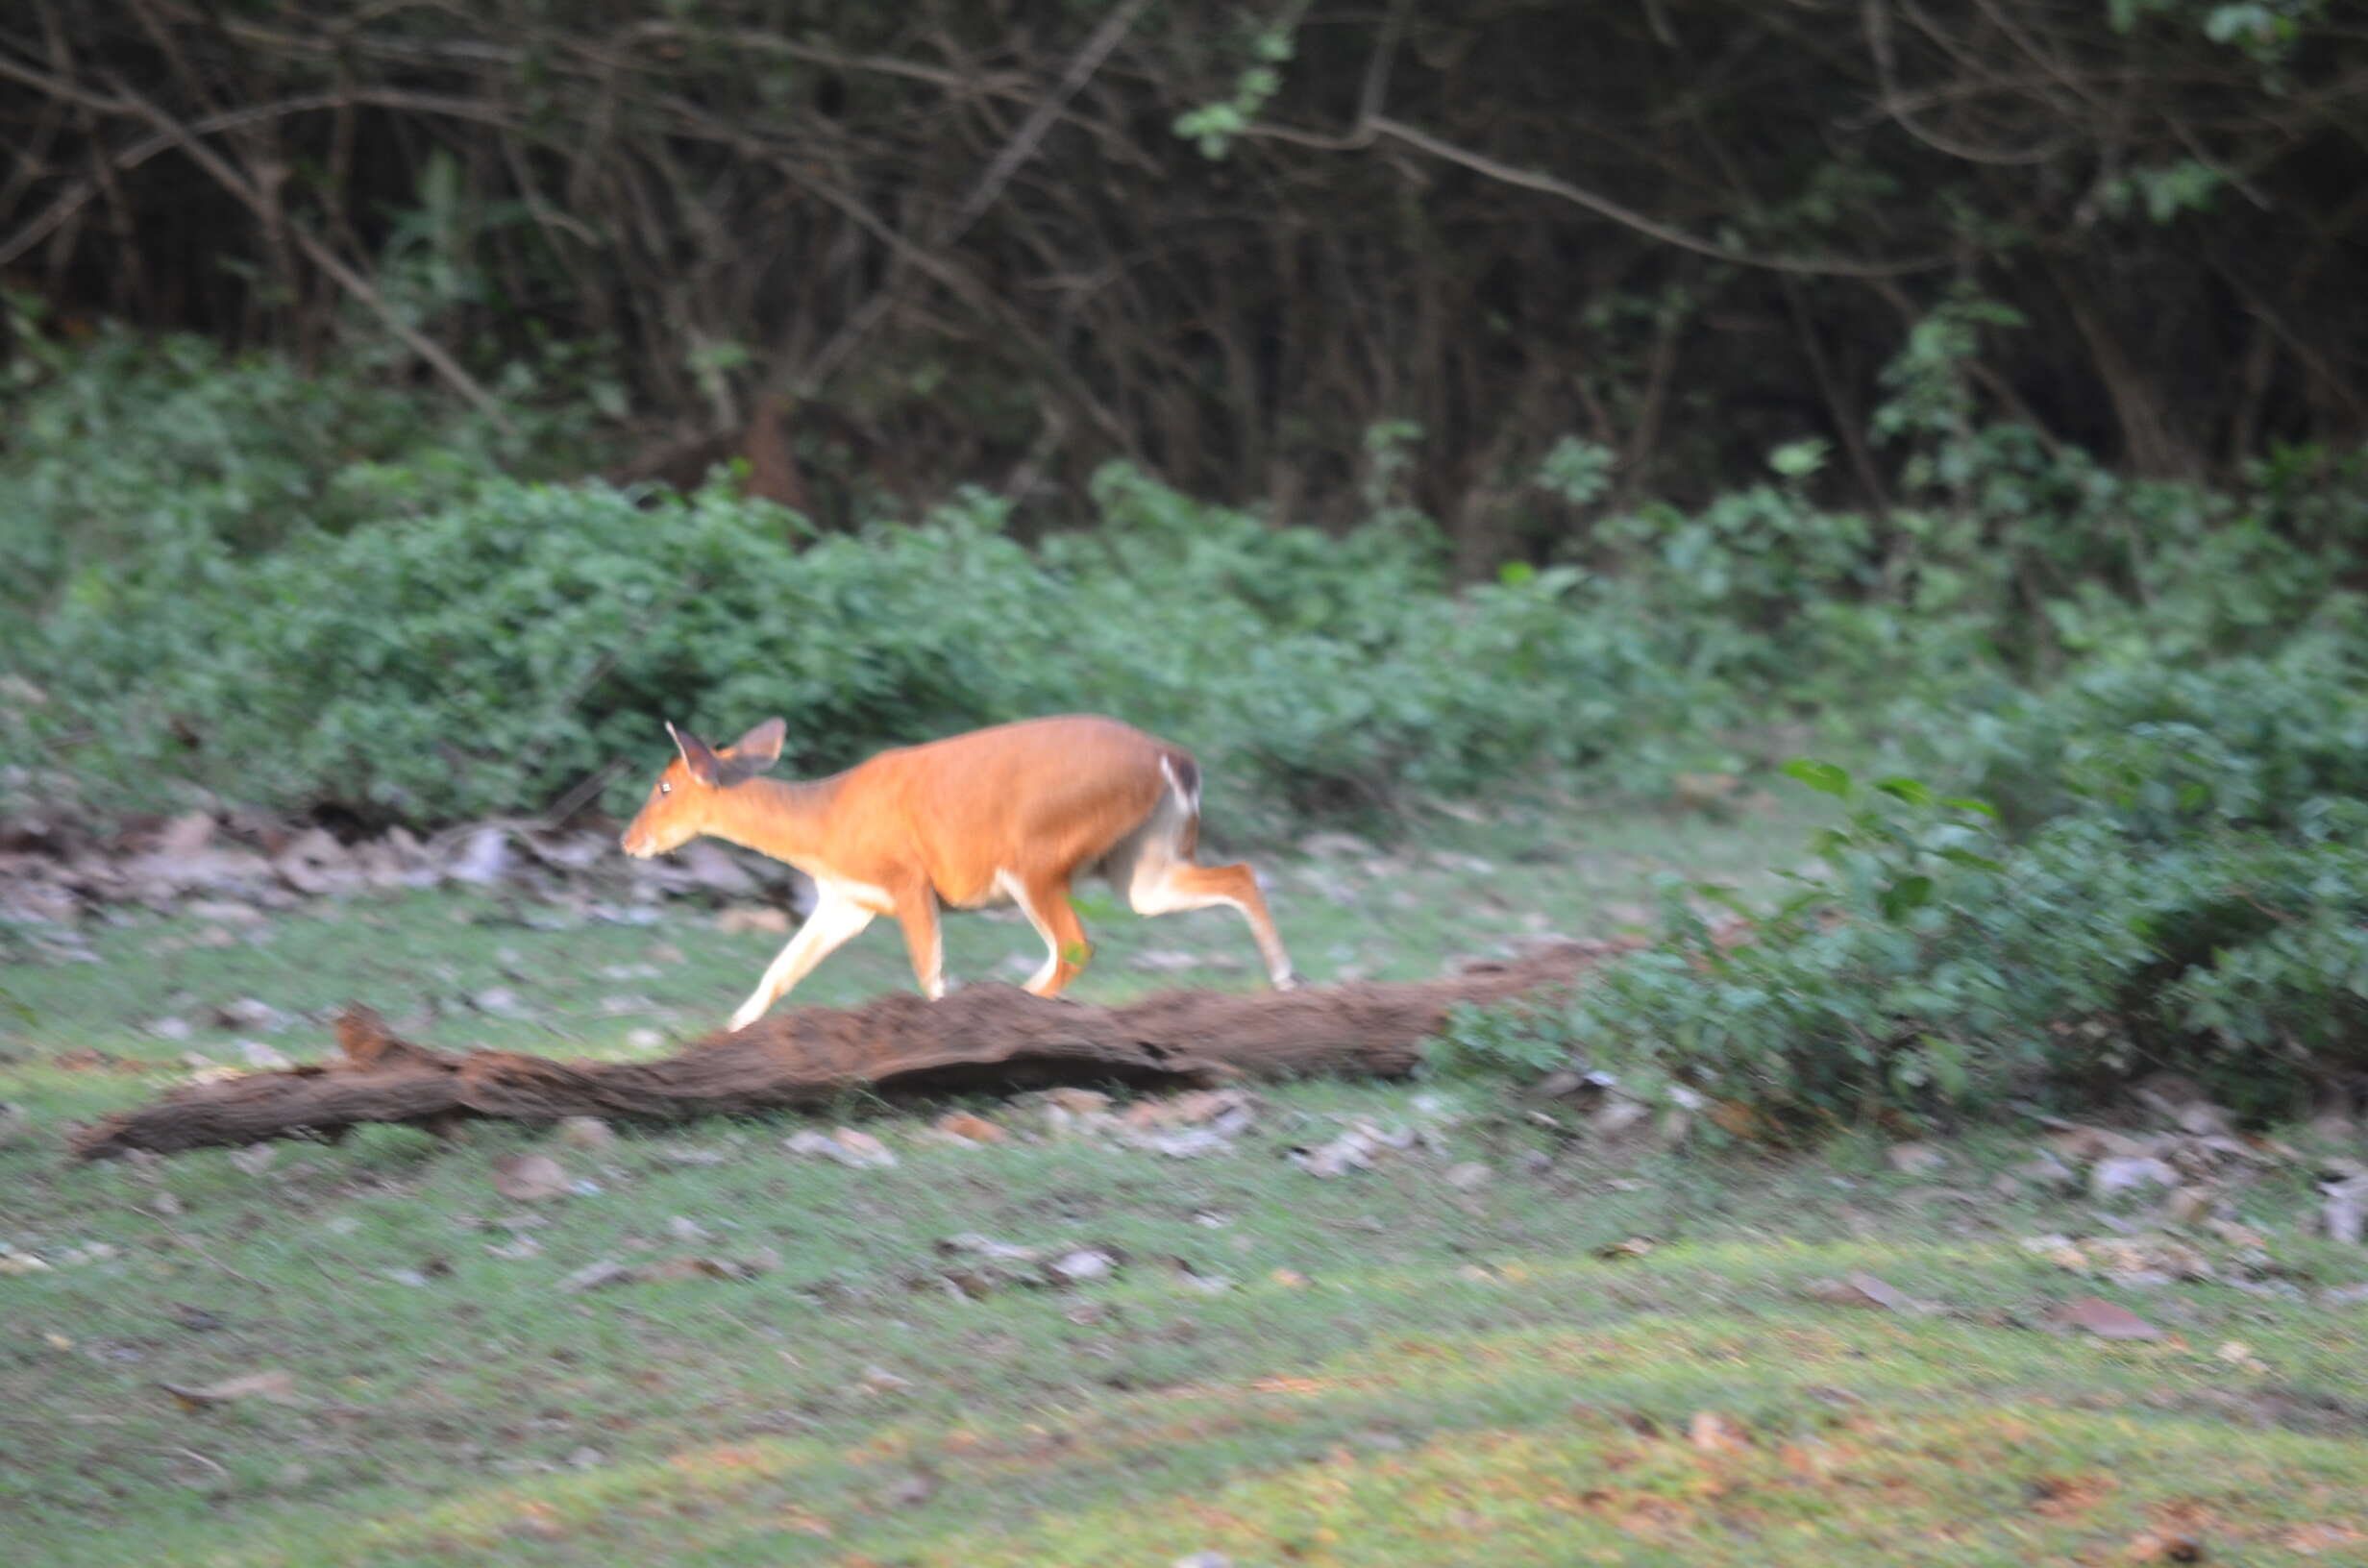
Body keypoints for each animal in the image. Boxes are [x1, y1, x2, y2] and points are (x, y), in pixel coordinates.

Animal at [620, 715, 1297, 1032]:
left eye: (663, 786)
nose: (628, 841)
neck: (824, 825)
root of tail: (1171, 756)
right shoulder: (847, 901)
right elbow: (780, 971)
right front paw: (729, 1031)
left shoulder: (907, 877)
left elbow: (931, 972)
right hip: (1140, 862)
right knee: (1237, 873)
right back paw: (1285, 978)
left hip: (1036, 853)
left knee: (1074, 943)